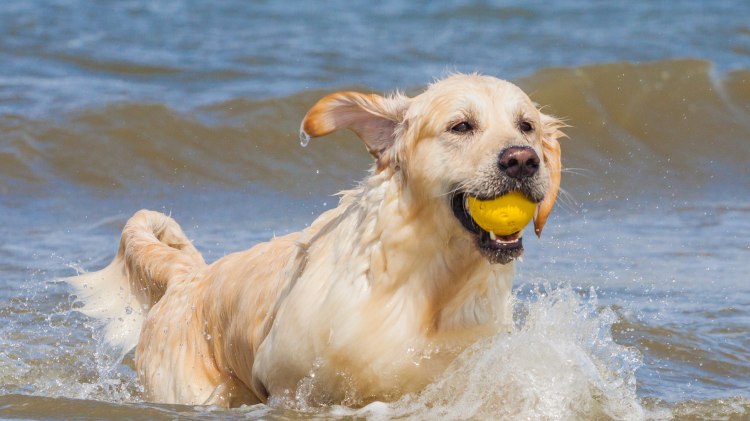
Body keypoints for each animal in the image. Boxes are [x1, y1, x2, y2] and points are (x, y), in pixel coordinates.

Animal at [69, 74, 564, 408]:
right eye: (461, 126)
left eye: (526, 126)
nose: (523, 160)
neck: (430, 284)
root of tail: (190, 278)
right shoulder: (292, 381)